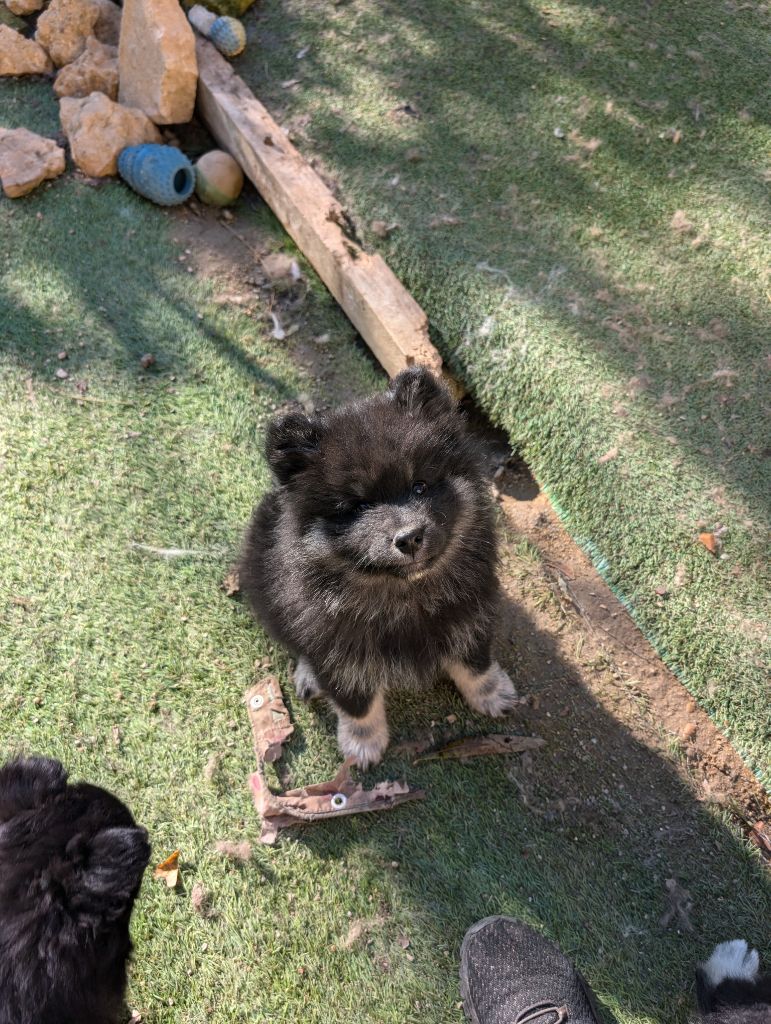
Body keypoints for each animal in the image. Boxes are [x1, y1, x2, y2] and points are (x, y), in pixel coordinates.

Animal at [240, 364, 518, 765]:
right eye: (356, 507)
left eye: (420, 486)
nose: (410, 537)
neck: (405, 596)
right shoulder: (337, 654)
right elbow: (356, 703)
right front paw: (362, 741)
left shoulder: (470, 615)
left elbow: (475, 662)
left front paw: (492, 692)